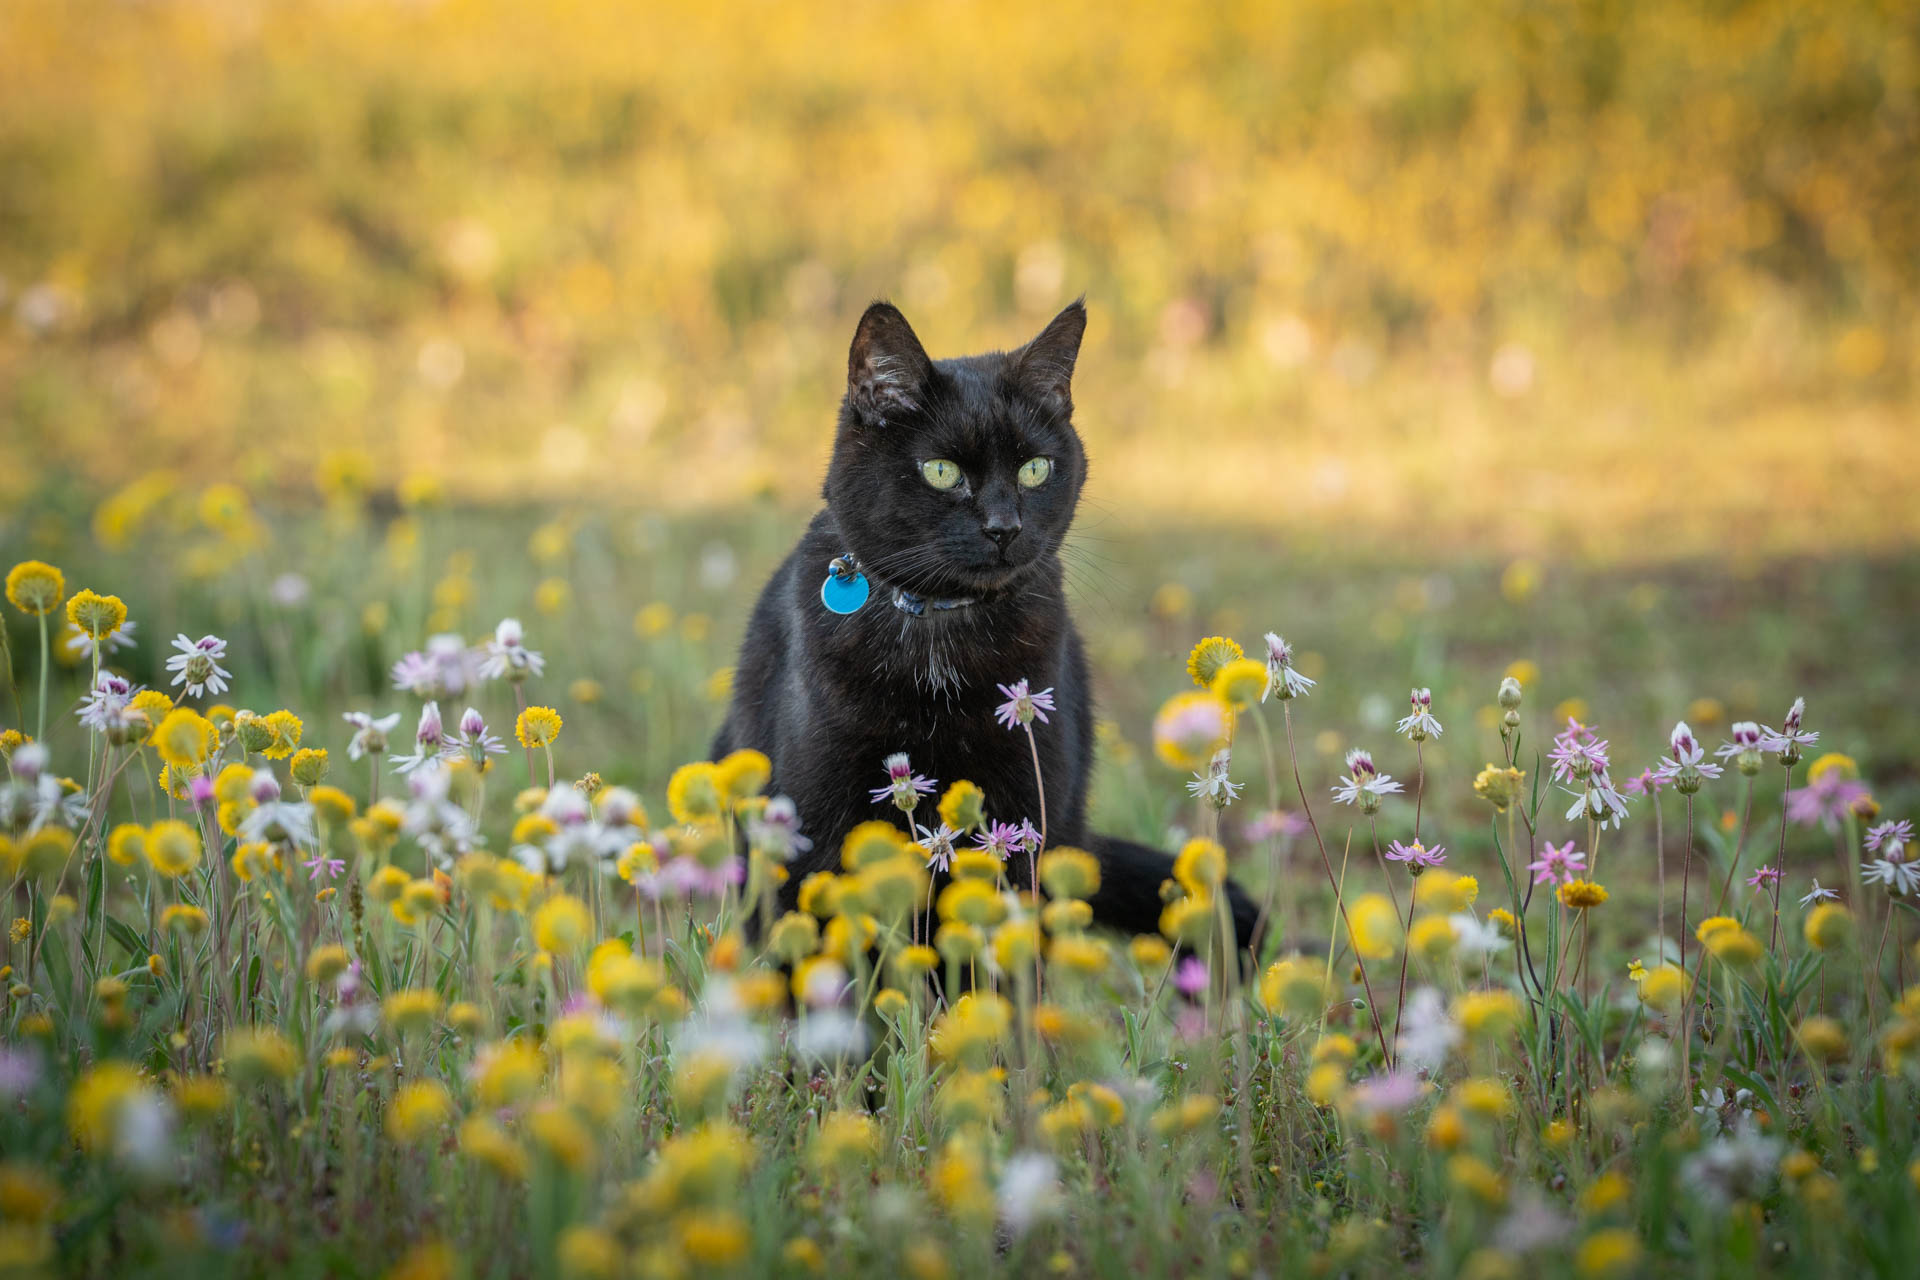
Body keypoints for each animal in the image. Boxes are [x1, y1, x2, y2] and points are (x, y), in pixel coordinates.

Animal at [706, 297, 1259, 940]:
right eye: (942, 471)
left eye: (1035, 469)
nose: (1004, 527)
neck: (942, 627)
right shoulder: (810, 816)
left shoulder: (1029, 801)